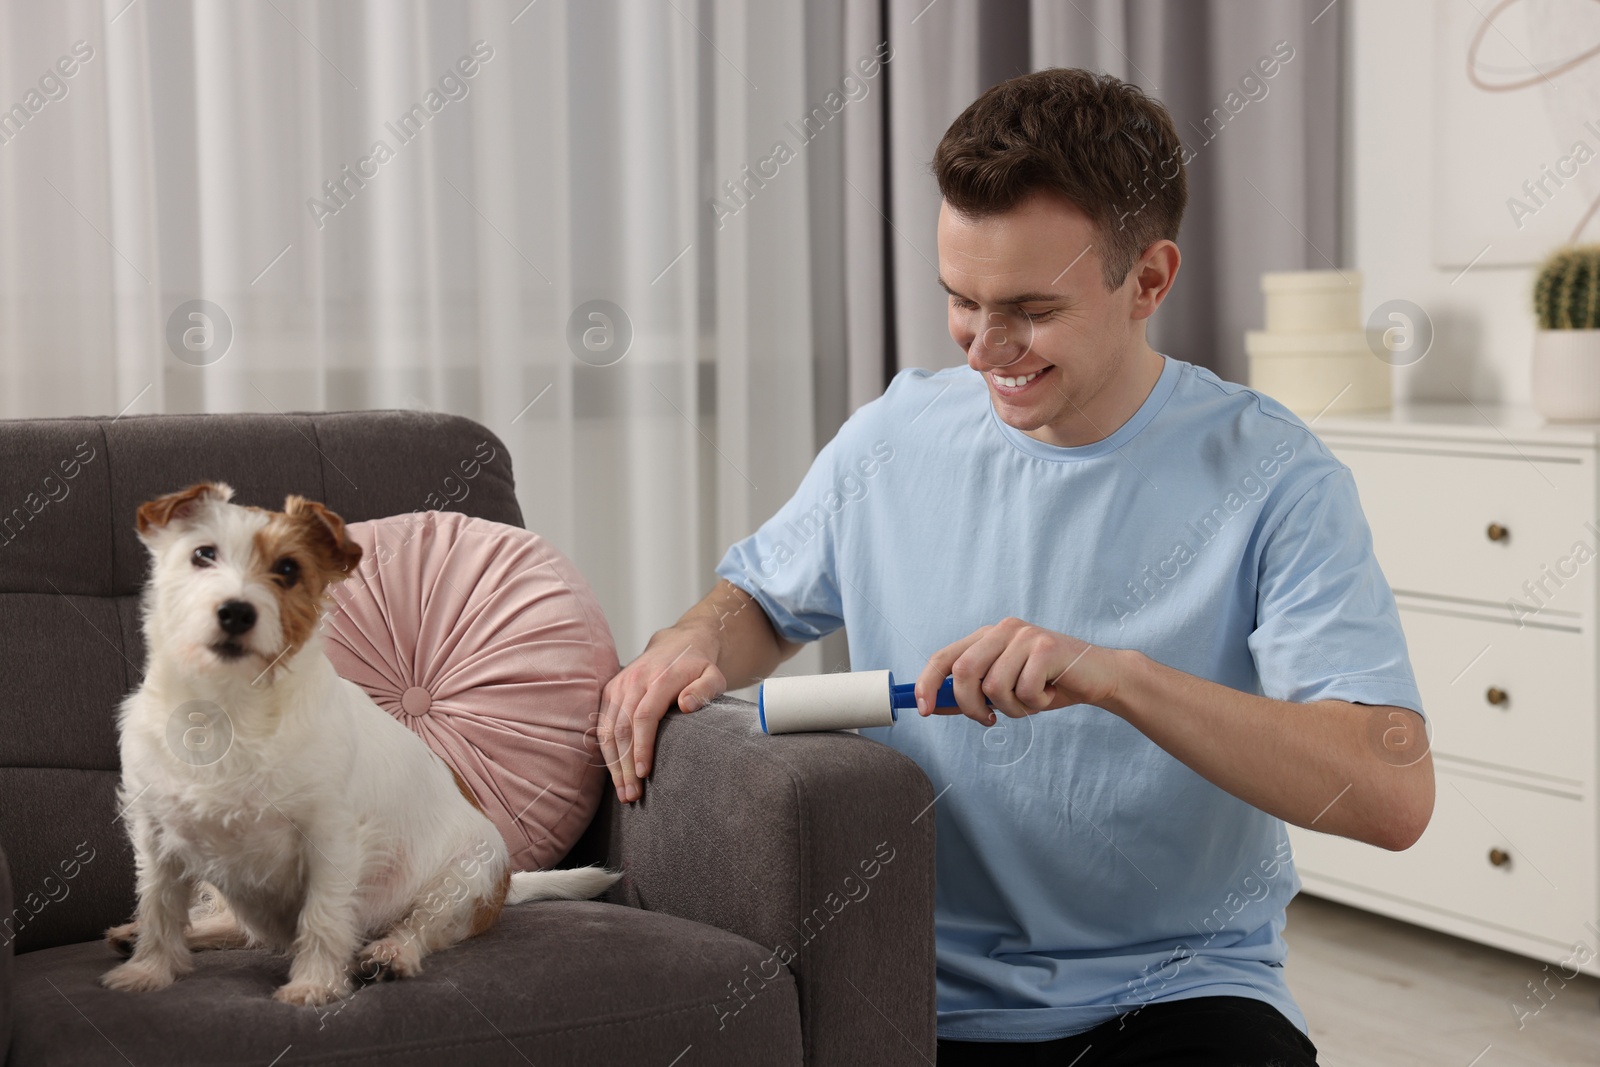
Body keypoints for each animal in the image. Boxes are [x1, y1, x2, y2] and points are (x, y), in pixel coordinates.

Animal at [103, 486, 617, 1011]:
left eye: (288, 568)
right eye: (202, 554)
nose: (237, 611)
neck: (228, 708)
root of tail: (508, 882)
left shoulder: (330, 842)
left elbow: (322, 918)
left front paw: (314, 985)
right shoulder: (156, 839)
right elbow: (161, 908)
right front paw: (148, 970)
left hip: (462, 882)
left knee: (421, 927)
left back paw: (390, 953)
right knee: (239, 928)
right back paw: (142, 936)